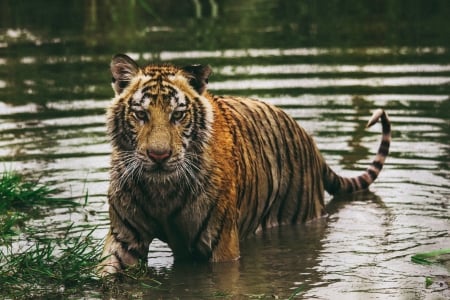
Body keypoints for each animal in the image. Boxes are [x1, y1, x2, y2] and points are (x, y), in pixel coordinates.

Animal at [98, 53, 390, 274]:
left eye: (178, 115)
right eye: (140, 114)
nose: (159, 155)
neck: (161, 191)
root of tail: (310, 141)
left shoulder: (220, 245)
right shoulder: (124, 239)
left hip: (300, 215)